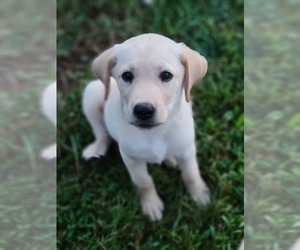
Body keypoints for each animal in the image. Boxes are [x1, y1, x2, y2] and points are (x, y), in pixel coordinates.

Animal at [82, 33, 209, 221]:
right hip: (91, 93)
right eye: (127, 75)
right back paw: (96, 148)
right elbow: (144, 182)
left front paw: (200, 196)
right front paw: (151, 205)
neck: (155, 133)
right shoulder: (132, 159)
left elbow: (191, 174)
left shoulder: (187, 150)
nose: (143, 110)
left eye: (166, 75)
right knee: (101, 132)